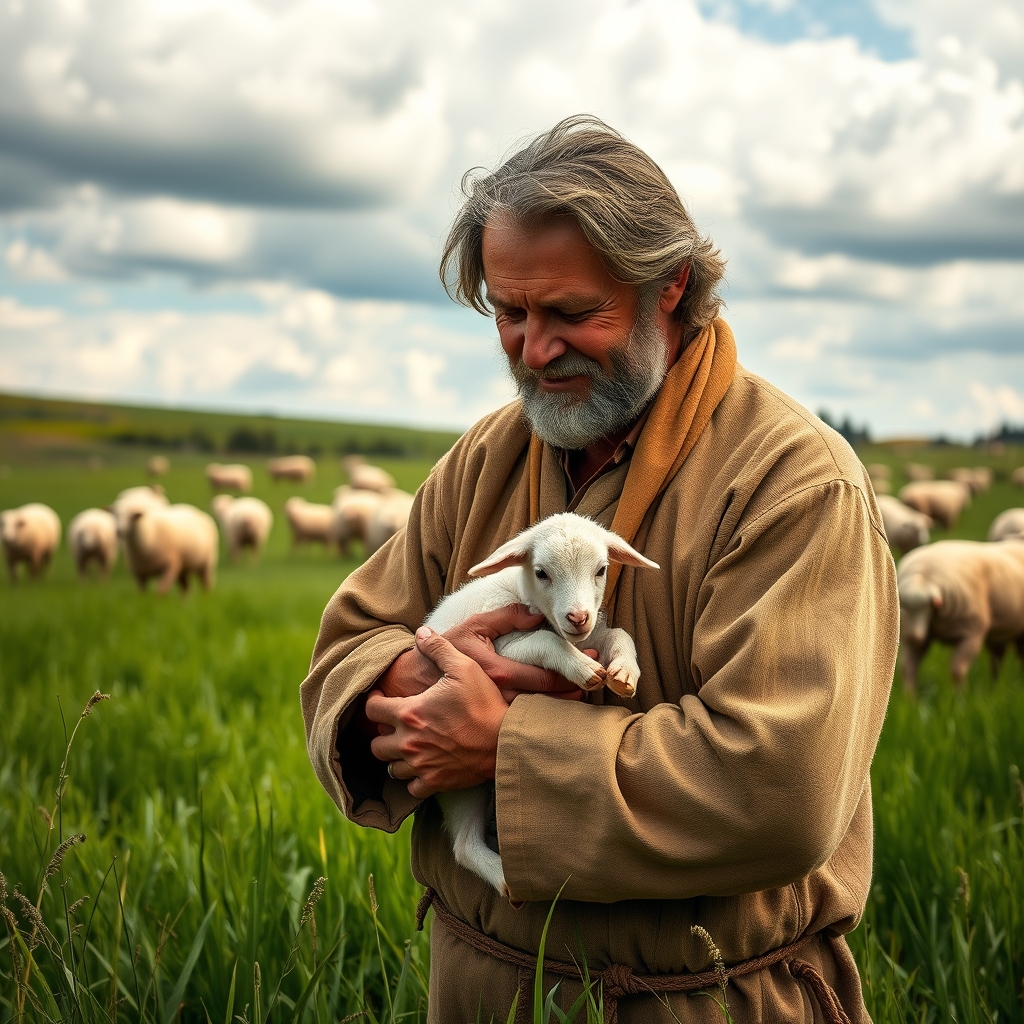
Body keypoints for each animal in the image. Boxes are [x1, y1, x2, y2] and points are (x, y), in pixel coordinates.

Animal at [424, 512, 659, 898]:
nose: (578, 617)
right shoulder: (504, 647)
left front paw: (624, 672)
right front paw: (583, 670)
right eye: (541, 573)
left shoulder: (592, 636)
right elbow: (548, 642)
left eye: (601, 570)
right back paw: (506, 878)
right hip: (457, 778)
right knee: (463, 844)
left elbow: (617, 634)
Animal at [897, 539, 1024, 690]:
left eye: (929, 606)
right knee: (998, 658)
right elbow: (908, 668)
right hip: (999, 635)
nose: (913, 637)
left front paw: (959, 695)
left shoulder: (972, 634)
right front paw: (909, 696)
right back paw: (995, 686)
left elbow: (957, 670)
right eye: (903, 607)